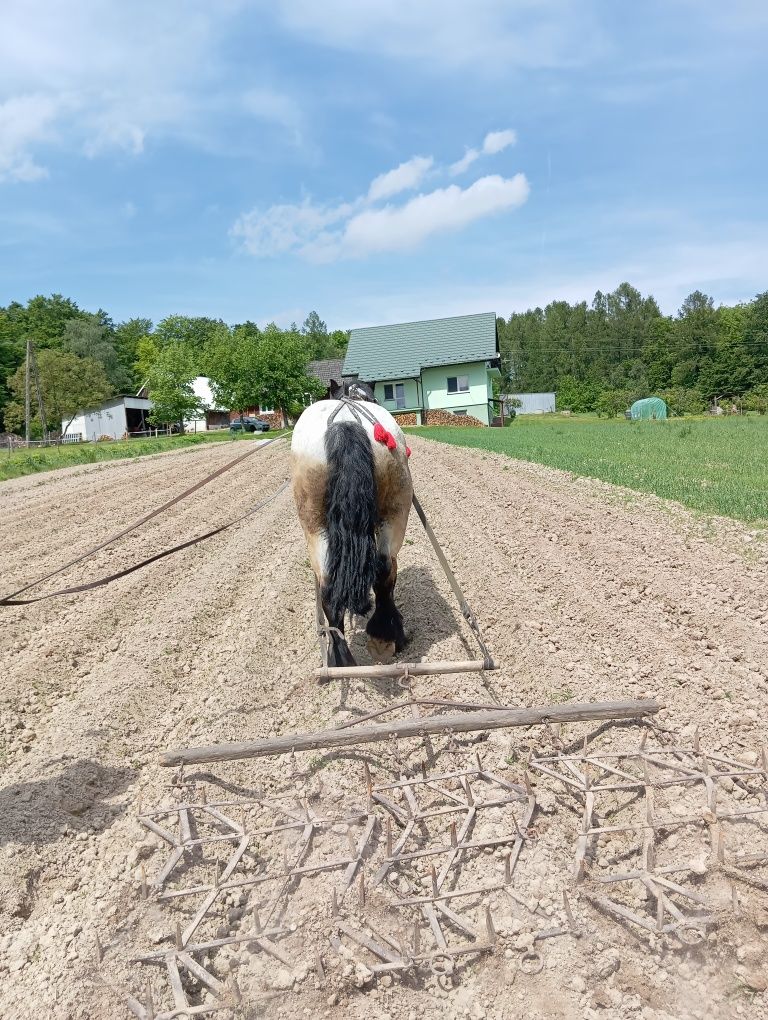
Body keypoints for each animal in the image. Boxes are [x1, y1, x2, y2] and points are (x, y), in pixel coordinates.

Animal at [289, 379, 414, 665]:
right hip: (395, 513)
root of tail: (345, 422)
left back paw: (343, 657)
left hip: (315, 525)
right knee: (383, 569)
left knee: (330, 585)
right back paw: (382, 639)